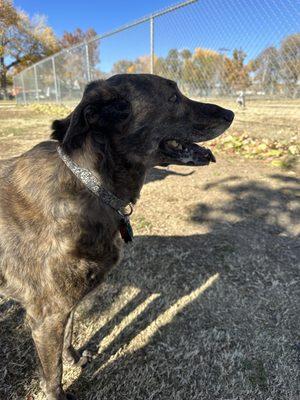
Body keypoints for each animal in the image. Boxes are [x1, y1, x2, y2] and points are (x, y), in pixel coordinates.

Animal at [0, 73, 234, 398]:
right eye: (173, 97)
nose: (231, 114)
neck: (90, 184)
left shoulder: (66, 306)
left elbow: (68, 336)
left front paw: (74, 359)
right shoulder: (46, 317)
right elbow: (53, 374)